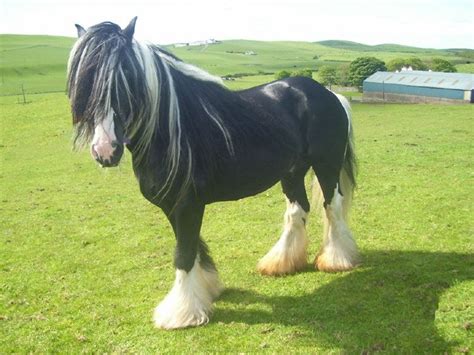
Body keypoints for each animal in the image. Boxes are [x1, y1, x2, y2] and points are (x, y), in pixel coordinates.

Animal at [67, 18, 360, 330]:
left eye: (127, 75)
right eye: (84, 81)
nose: (105, 150)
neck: (172, 130)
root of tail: (329, 93)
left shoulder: (188, 205)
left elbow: (184, 253)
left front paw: (181, 313)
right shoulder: (172, 207)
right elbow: (192, 247)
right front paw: (207, 290)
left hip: (326, 166)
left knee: (332, 207)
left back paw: (336, 260)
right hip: (292, 172)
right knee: (298, 210)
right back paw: (281, 263)